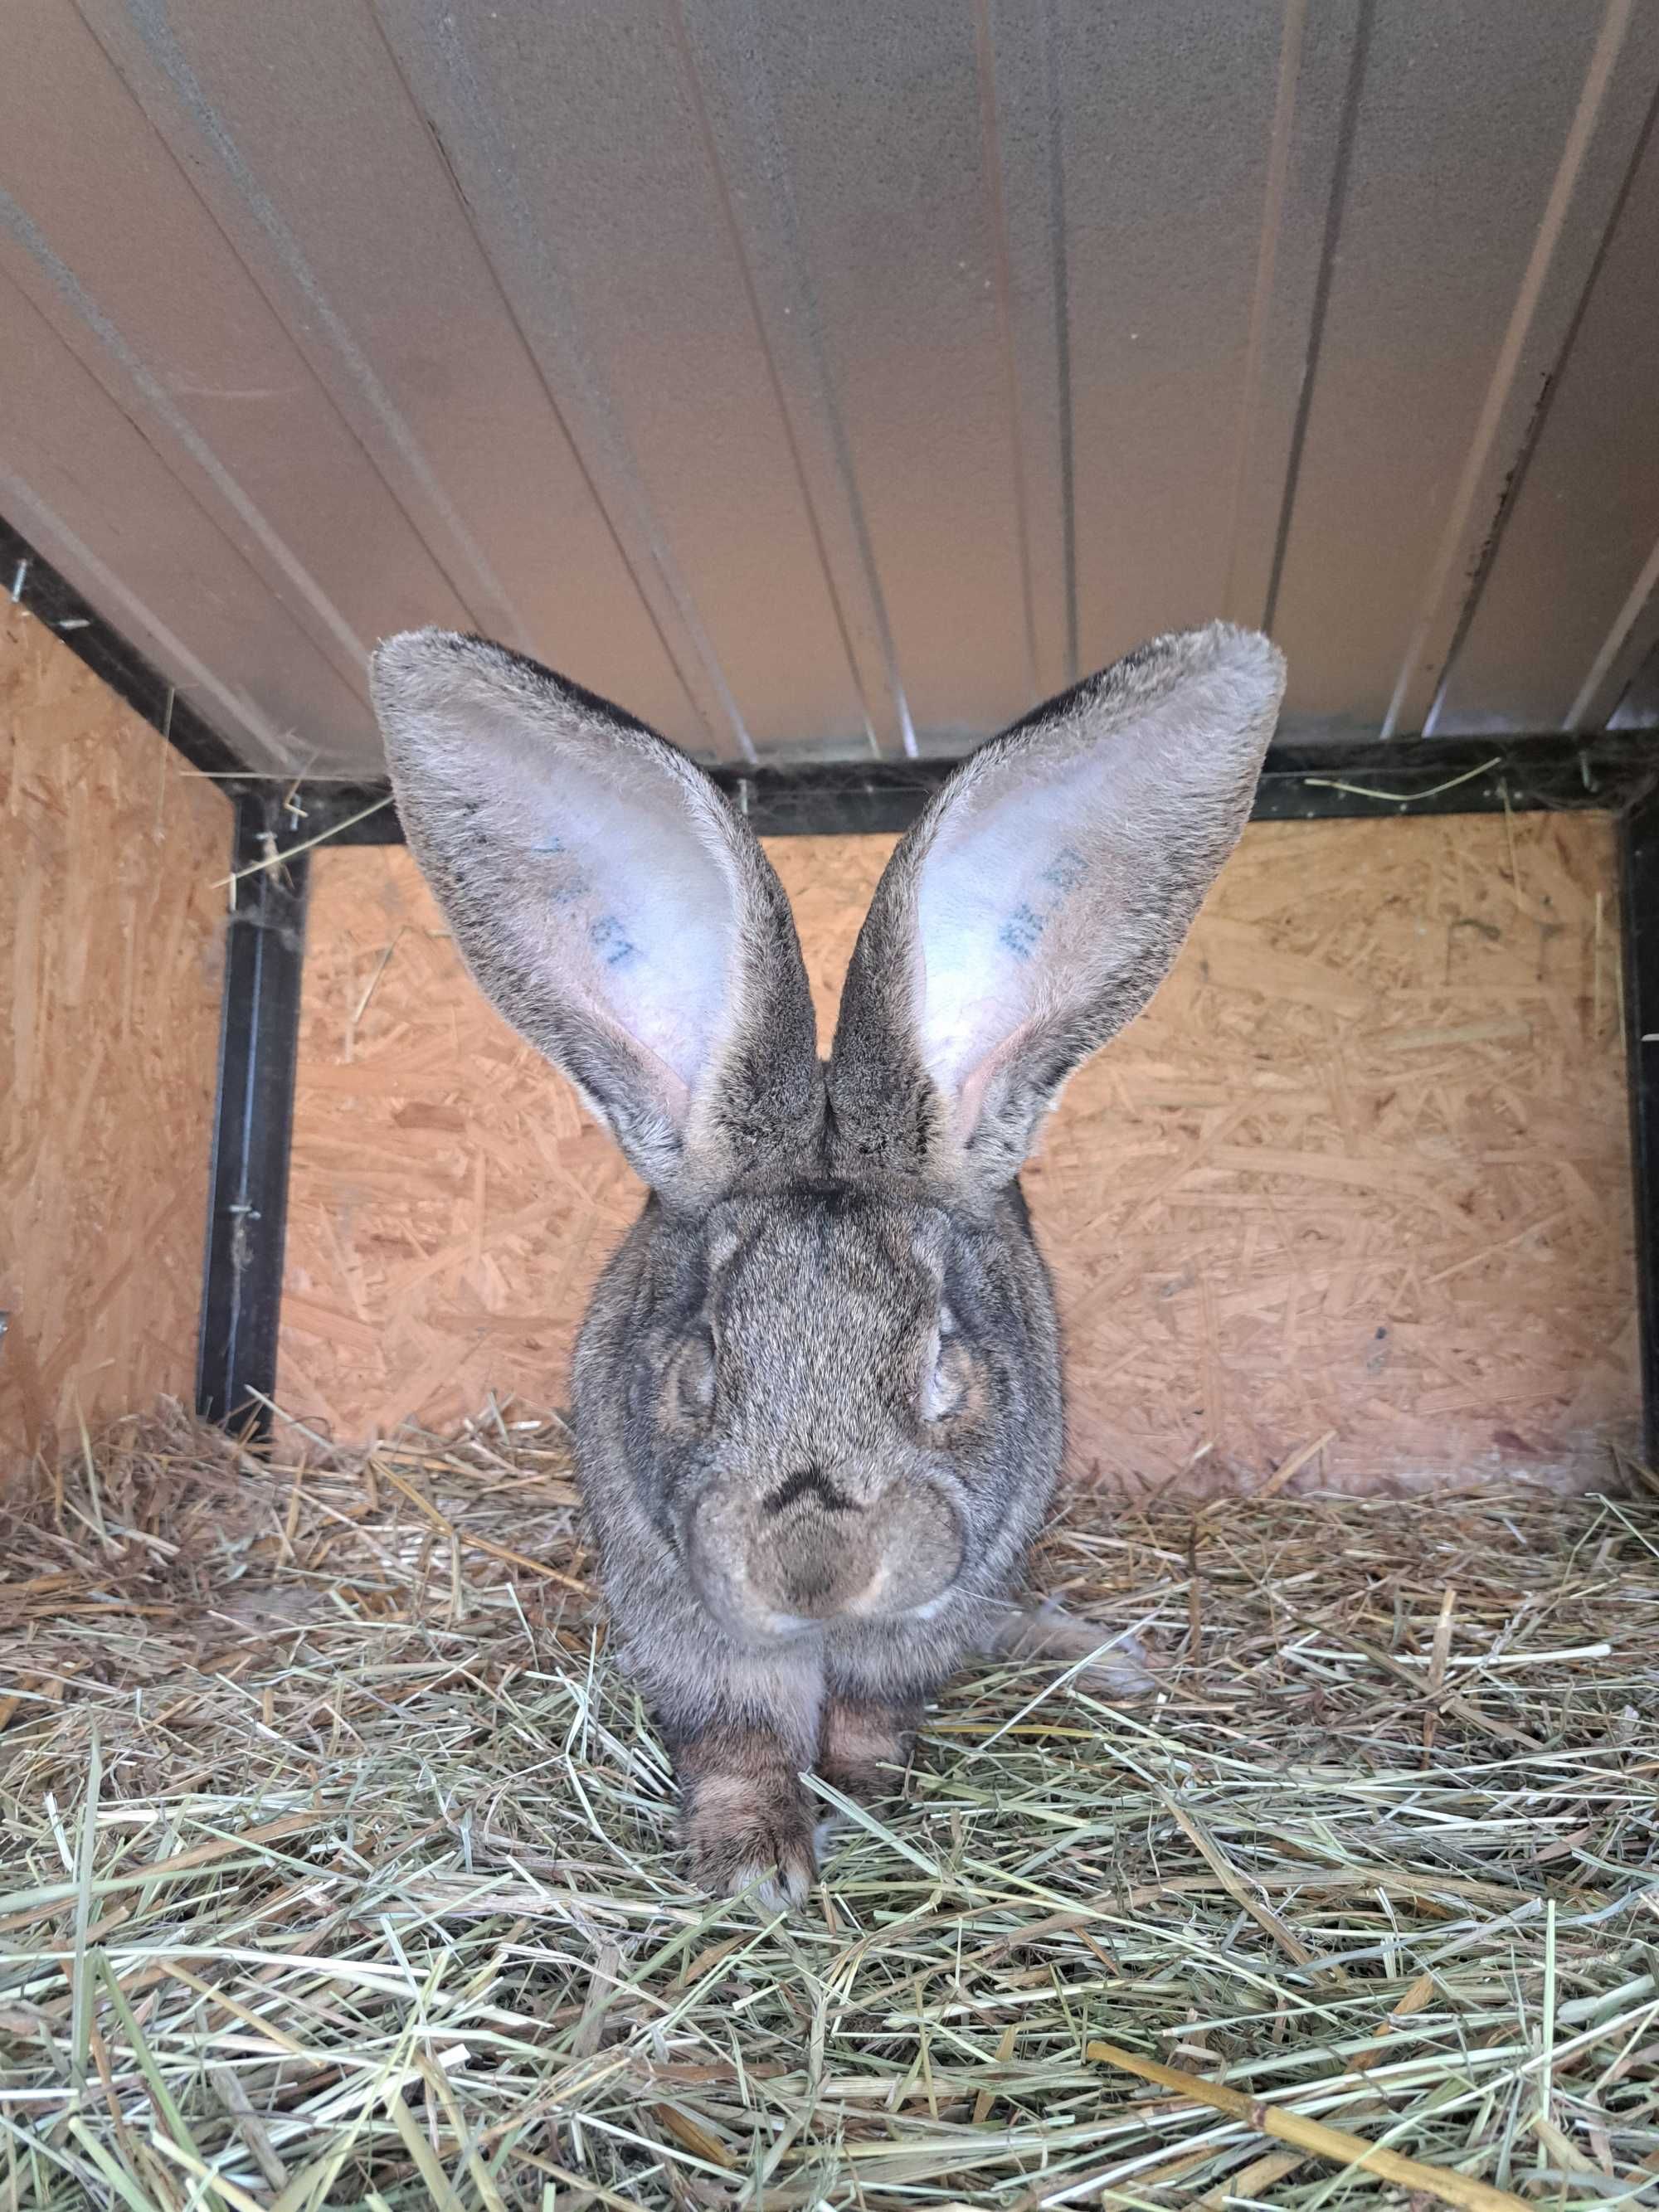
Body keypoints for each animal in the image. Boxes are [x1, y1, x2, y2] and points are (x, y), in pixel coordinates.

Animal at [369, 619, 1292, 1902]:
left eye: (947, 1366)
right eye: (700, 1369)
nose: (812, 1568)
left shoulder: (915, 1630)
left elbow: (869, 1717)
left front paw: (862, 1807)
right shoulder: (689, 1629)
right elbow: (741, 1741)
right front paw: (753, 1867)